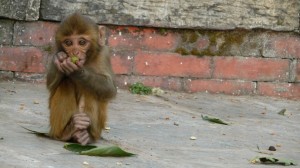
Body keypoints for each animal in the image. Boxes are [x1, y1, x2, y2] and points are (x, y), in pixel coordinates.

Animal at [46, 12, 116, 145]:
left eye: (82, 42)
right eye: (68, 43)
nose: (75, 52)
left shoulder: (104, 53)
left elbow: (110, 89)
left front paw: (78, 72)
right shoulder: (56, 52)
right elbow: (50, 85)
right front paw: (60, 60)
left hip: (97, 130)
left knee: (90, 89)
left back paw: (85, 135)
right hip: (55, 127)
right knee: (66, 83)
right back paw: (69, 131)